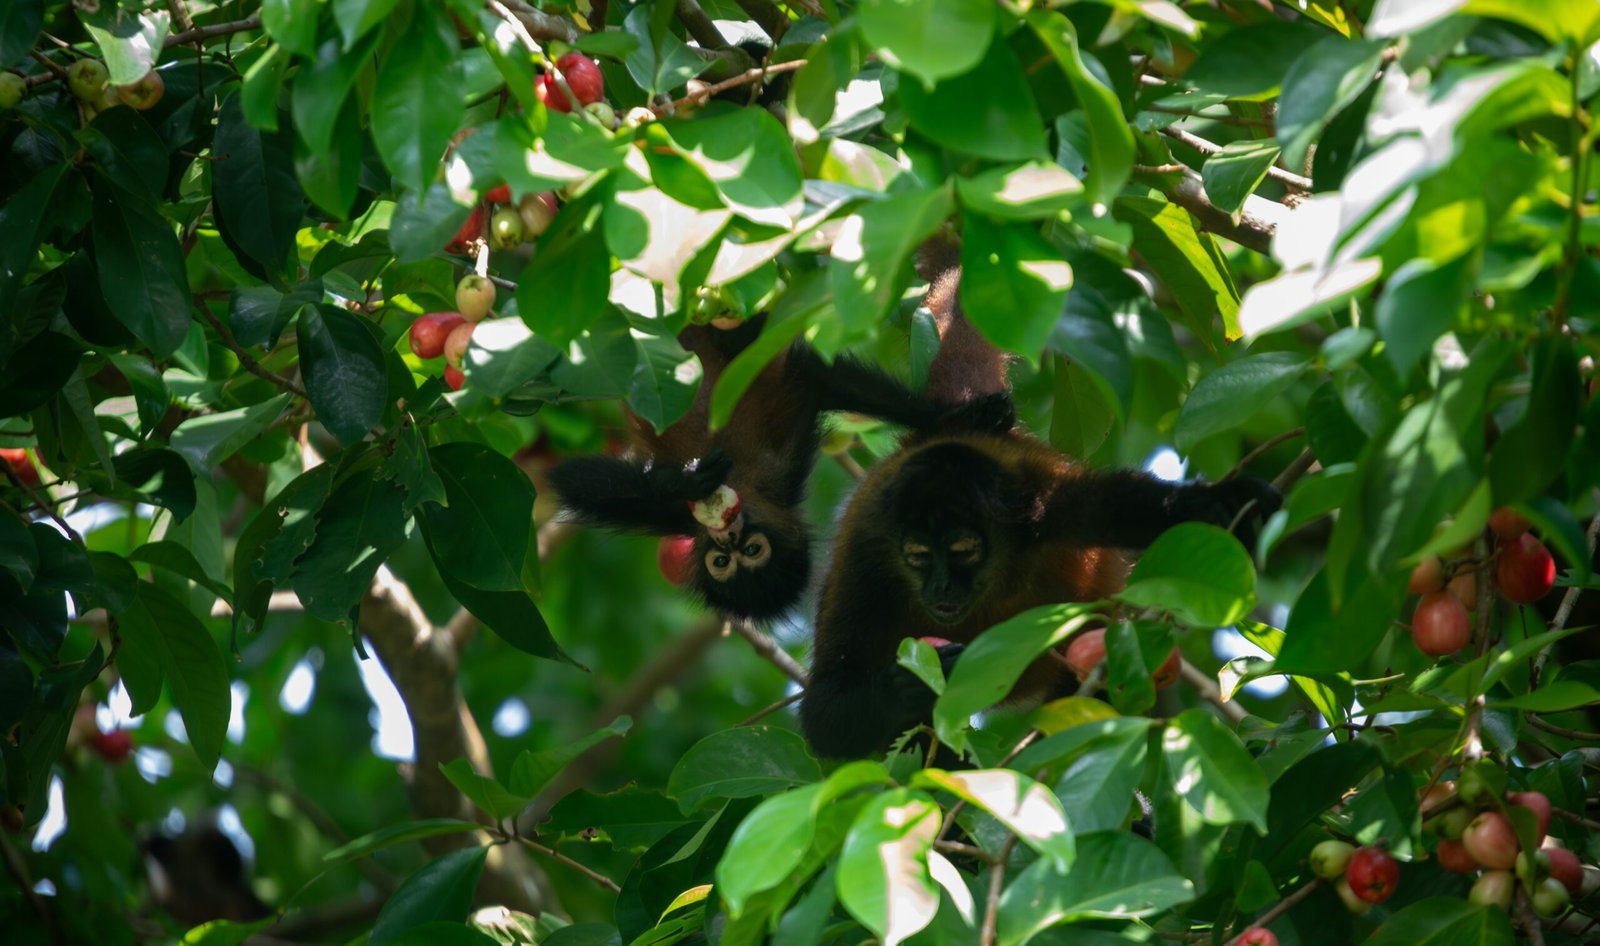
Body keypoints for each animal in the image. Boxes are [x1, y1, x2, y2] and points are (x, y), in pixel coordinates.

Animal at [544, 318, 966, 624]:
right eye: (722, 561)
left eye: (749, 551)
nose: (728, 539)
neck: (743, 485)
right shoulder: (682, 514)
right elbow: (570, 480)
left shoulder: (767, 481)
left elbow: (814, 378)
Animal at [806, 257, 1280, 755]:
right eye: (917, 556)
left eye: (963, 551)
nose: (940, 587)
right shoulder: (867, 552)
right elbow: (825, 712)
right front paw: (915, 683)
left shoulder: (1042, 504)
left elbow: (1133, 508)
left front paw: (1228, 500)